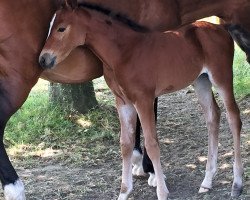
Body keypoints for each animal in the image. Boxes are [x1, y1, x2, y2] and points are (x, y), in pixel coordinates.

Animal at [40, 3, 243, 200]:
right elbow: (125, 144)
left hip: (222, 78)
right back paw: (207, 182)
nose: (43, 59)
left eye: (61, 28)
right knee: (213, 116)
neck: (125, 52)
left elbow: (152, 144)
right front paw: (124, 192)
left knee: (234, 117)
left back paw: (237, 184)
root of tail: (221, 28)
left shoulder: (144, 99)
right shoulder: (123, 102)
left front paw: (162, 192)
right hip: (201, 81)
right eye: (49, 26)